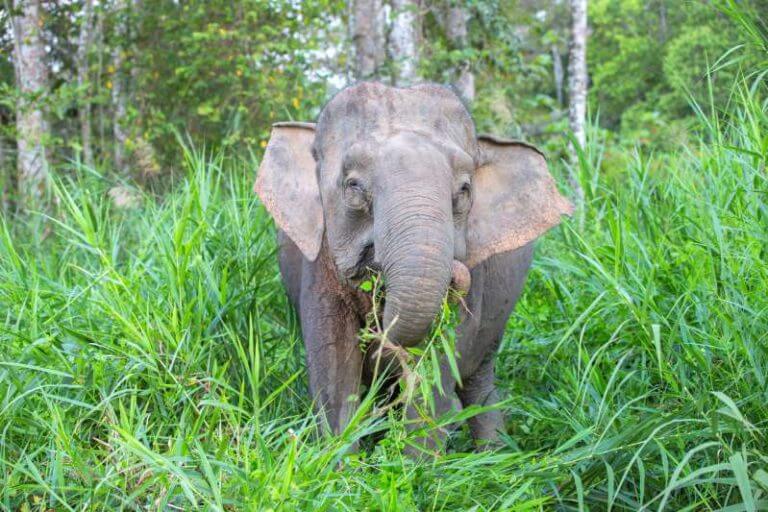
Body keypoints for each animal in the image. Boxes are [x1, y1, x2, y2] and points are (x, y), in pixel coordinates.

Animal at [254, 82, 572, 451]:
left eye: (464, 190)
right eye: (353, 186)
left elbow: (438, 364)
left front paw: (413, 460)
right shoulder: (319, 261)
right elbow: (334, 367)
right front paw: (340, 460)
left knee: (478, 380)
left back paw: (494, 455)